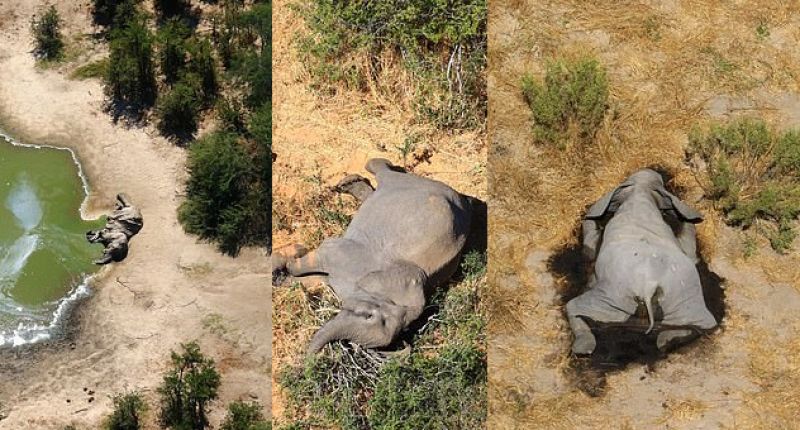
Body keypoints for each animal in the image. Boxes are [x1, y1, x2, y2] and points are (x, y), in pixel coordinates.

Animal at [275, 158, 473, 355]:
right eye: (369, 315)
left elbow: (318, 279)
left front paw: (284, 275)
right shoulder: (348, 255)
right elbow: (316, 257)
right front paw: (289, 258)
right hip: (408, 183)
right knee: (382, 171)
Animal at [565, 169, 718, 355]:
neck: (640, 193)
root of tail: (648, 288)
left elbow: (590, 246)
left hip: (612, 298)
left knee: (573, 306)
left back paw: (583, 348)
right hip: (684, 298)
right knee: (704, 324)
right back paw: (666, 341)